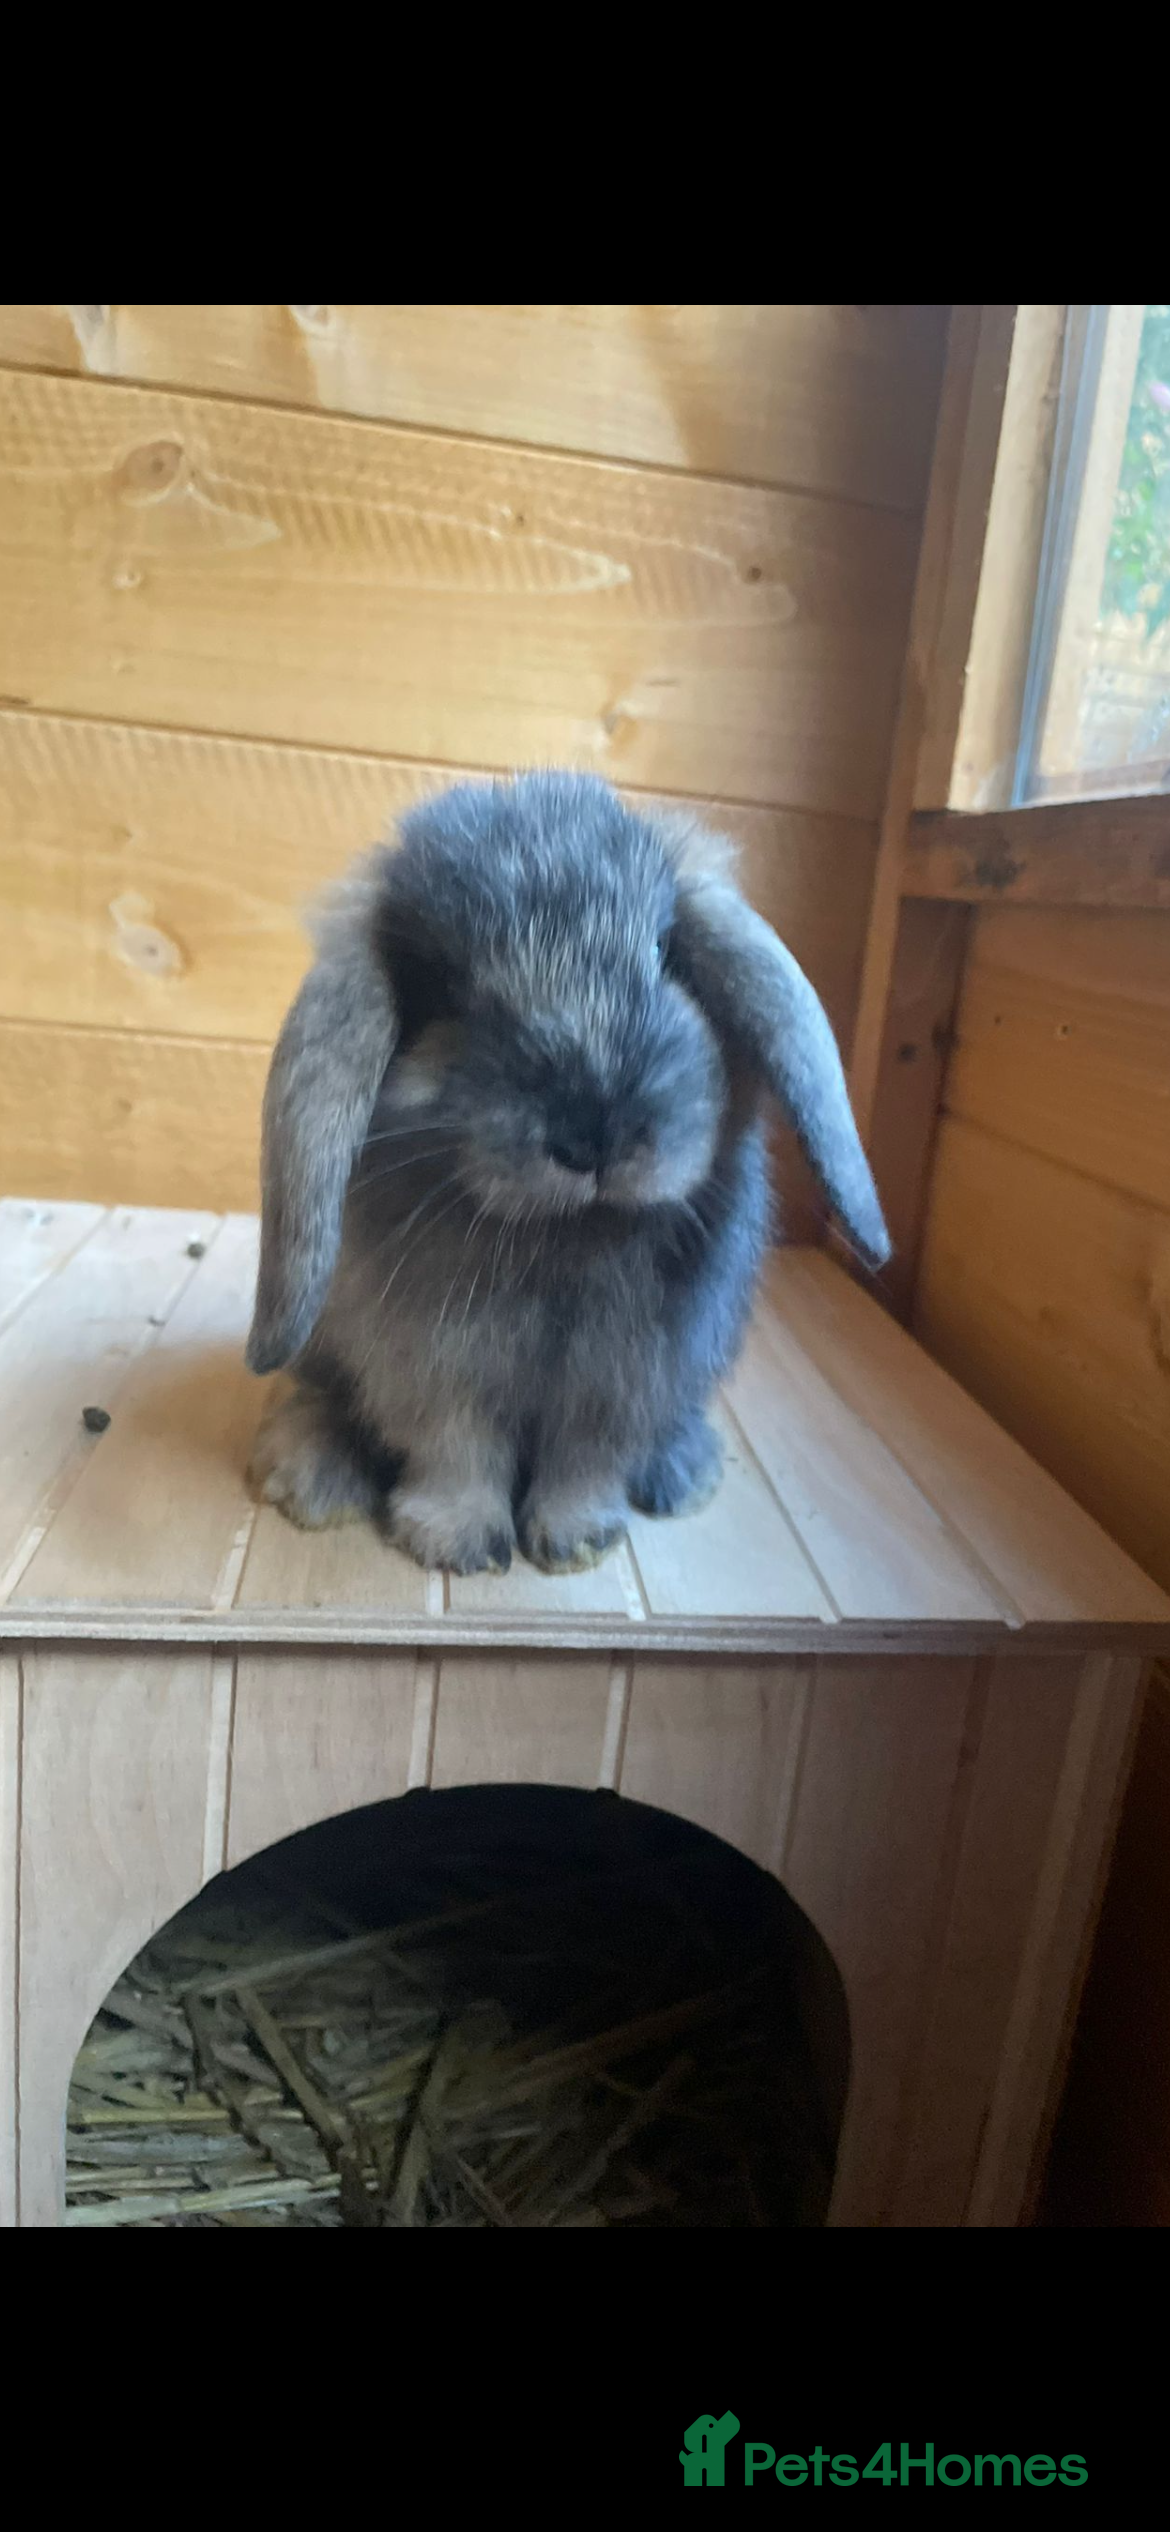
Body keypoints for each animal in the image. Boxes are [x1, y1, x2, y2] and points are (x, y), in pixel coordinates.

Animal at [245, 770, 889, 1575]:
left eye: (666, 952)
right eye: (445, 990)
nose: (596, 1133)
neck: (565, 1239)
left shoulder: (622, 1383)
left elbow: (585, 1461)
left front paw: (575, 1542)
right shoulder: (433, 1371)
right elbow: (456, 1452)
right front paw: (459, 1545)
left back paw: (683, 1472)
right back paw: (314, 1478)